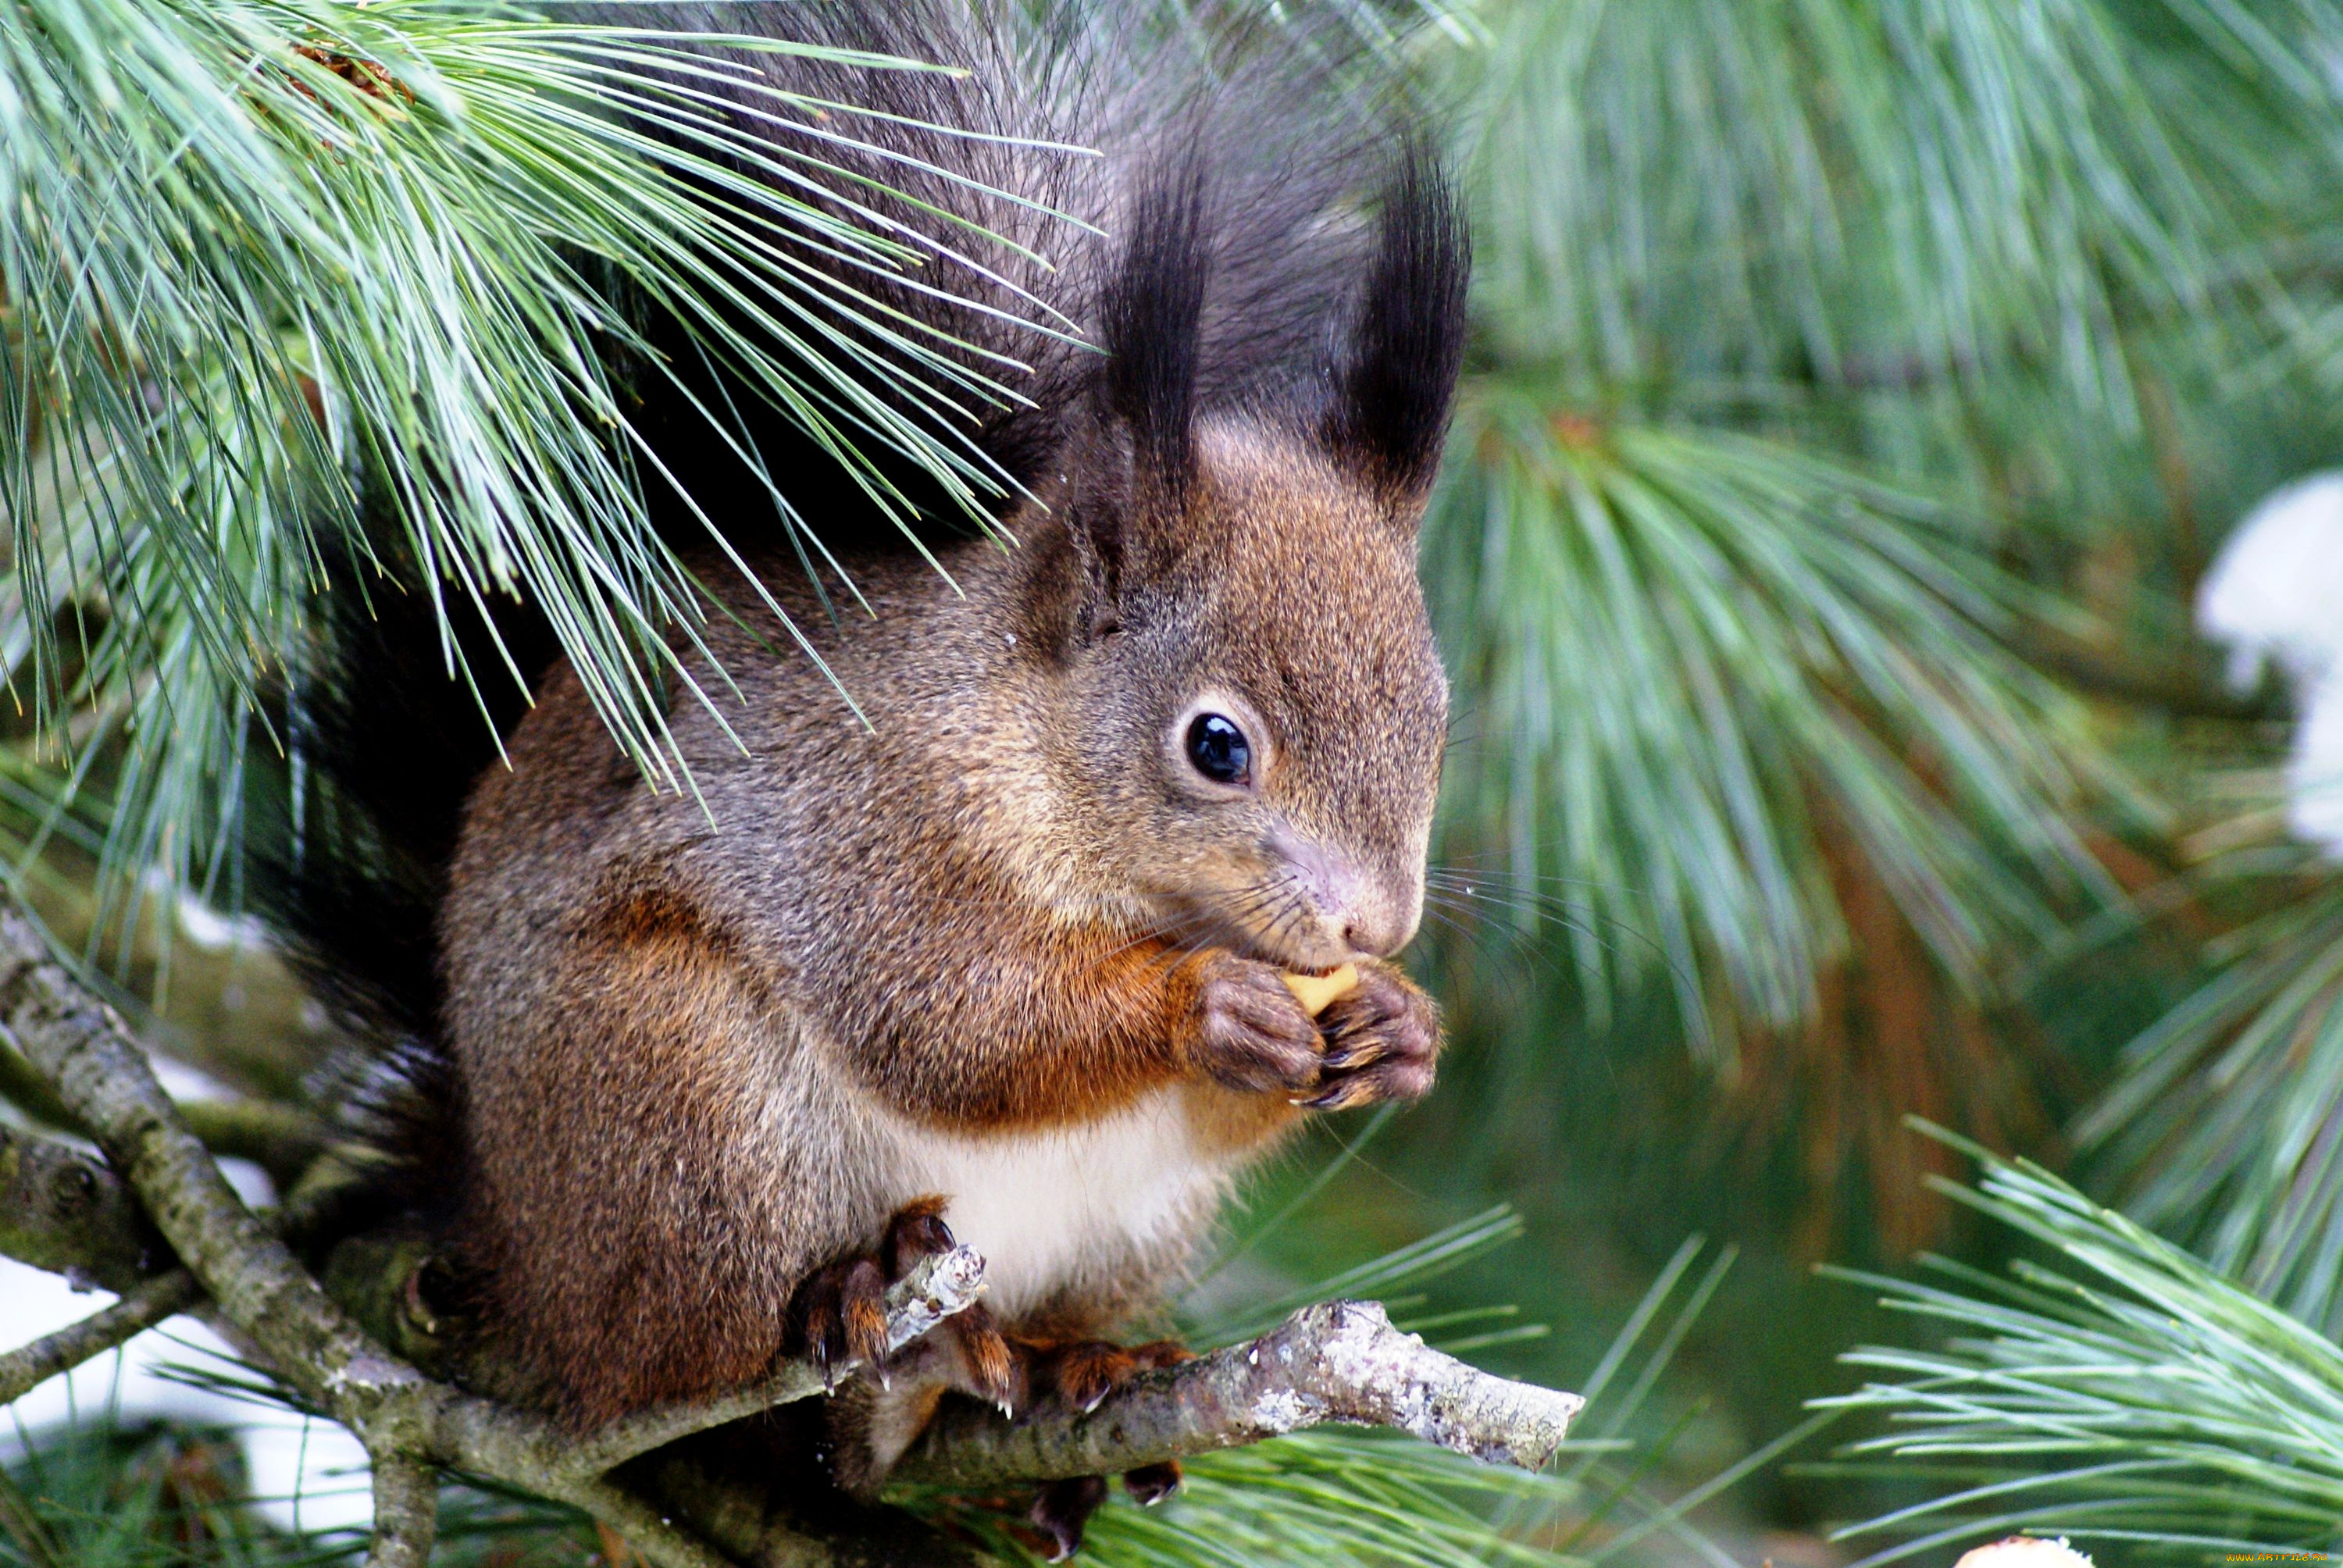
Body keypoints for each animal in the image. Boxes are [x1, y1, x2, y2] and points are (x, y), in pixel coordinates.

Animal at [256, 0, 1462, 1556]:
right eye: (1216, 744)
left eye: (1438, 717)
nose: (1379, 923)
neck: (1020, 738)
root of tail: (508, 1235)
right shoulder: (861, 823)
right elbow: (949, 1019)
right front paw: (1207, 1005)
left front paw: (1398, 1029)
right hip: (678, 1097)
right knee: (692, 1364)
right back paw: (869, 1340)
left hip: (1132, 1226)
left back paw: (1073, 1374)